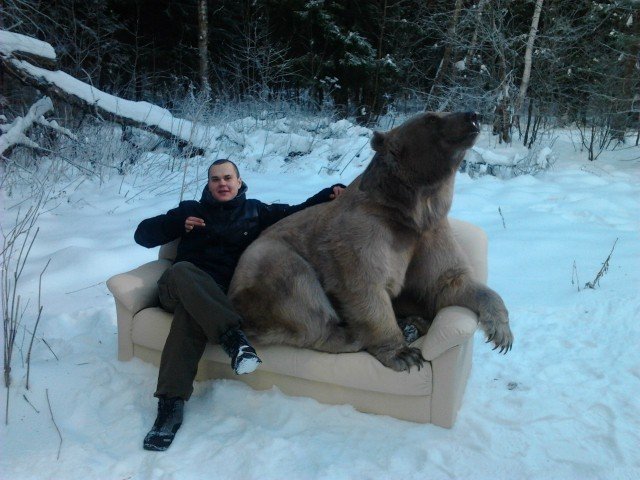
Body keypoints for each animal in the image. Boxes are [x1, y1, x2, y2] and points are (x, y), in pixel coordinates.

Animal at [229, 111, 513, 372]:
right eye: (431, 118)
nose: (472, 116)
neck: (408, 211)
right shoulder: (364, 232)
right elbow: (365, 286)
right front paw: (403, 354)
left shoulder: (430, 233)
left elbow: (448, 280)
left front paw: (501, 333)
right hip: (269, 261)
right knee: (301, 293)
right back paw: (354, 335)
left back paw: (414, 323)